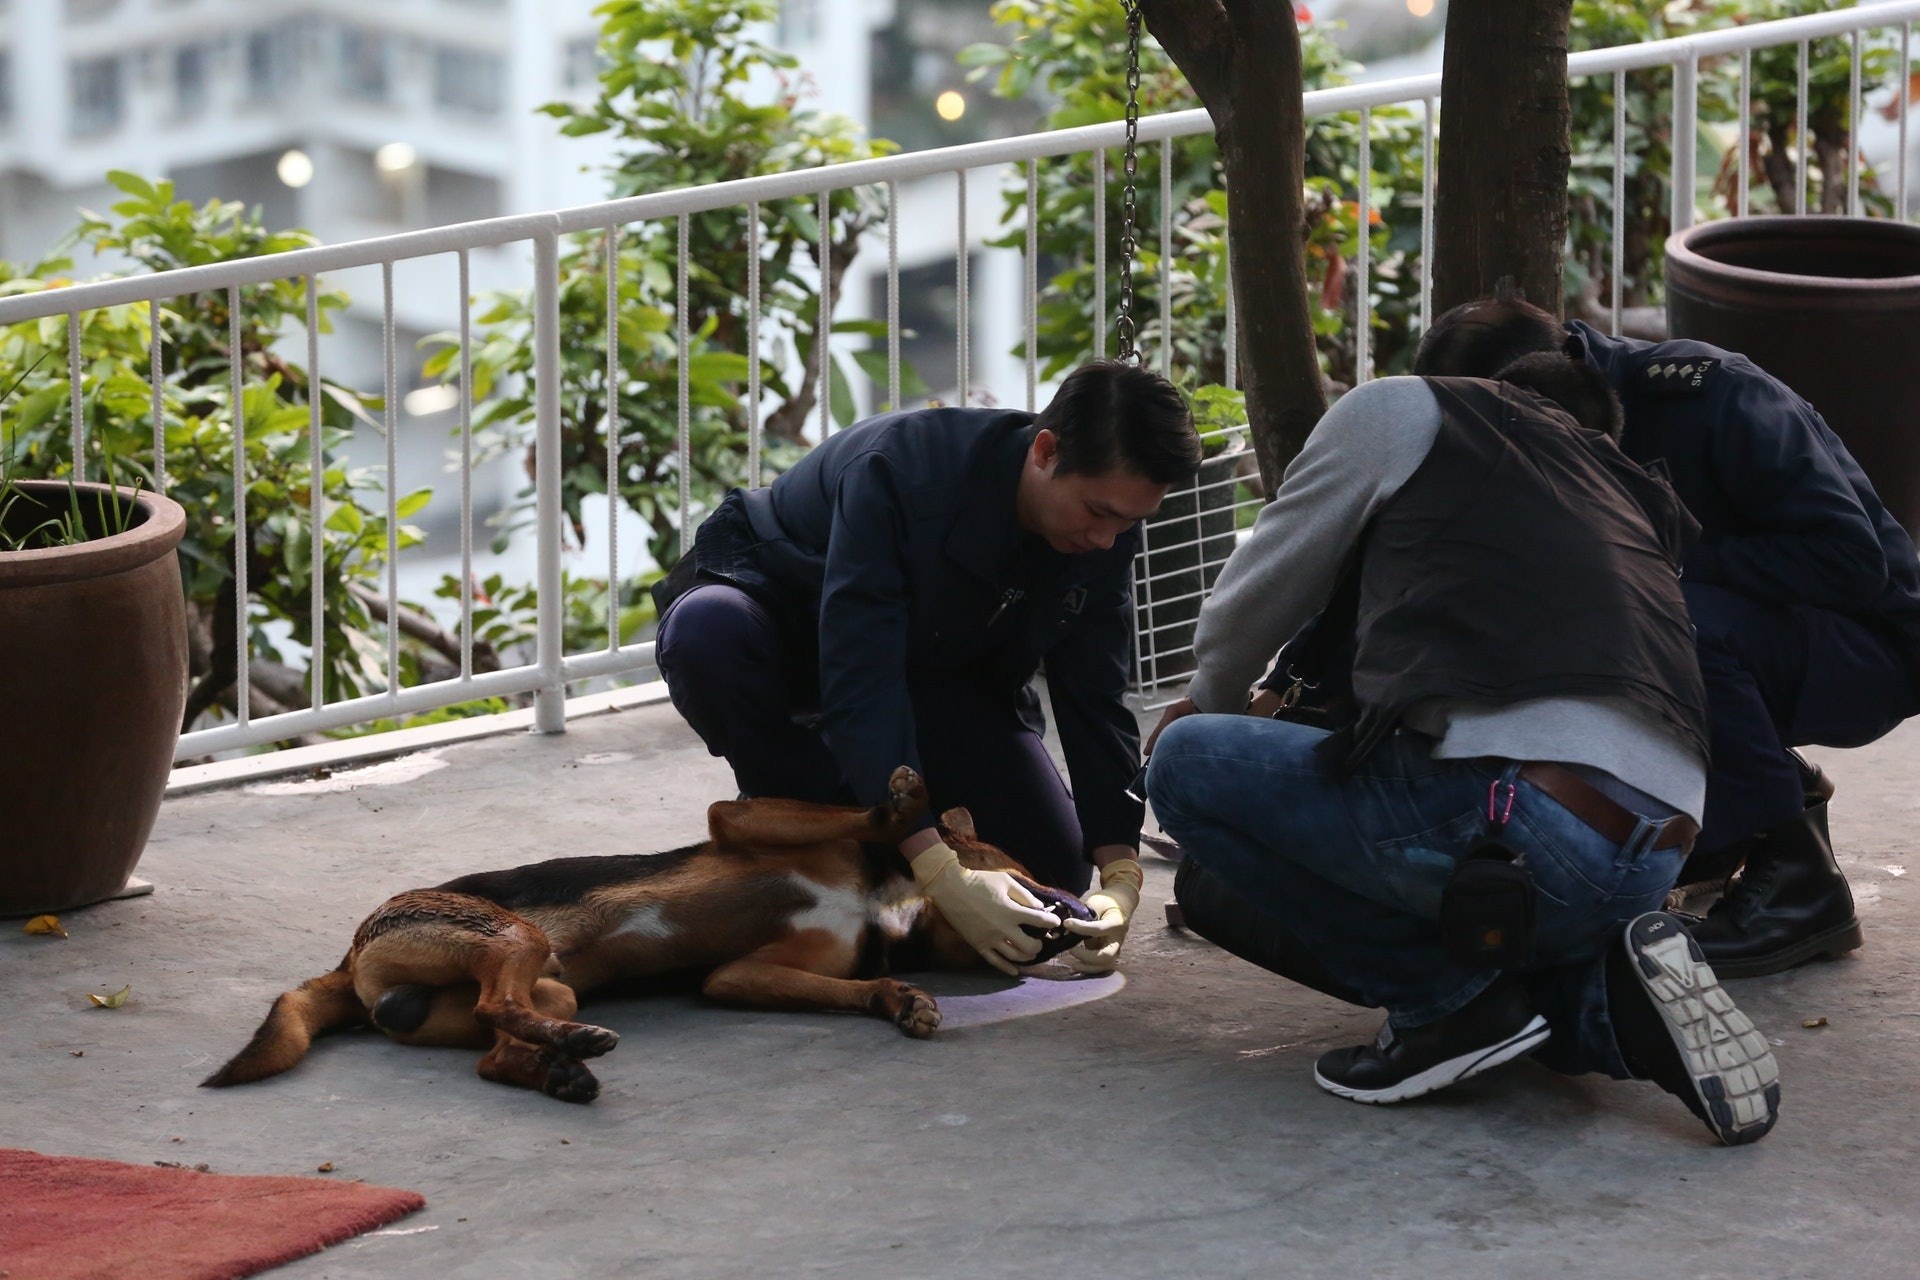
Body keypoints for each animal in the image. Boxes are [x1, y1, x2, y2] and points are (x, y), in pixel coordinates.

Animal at [206, 767, 1098, 1105]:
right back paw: (571, 1053)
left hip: (540, 981)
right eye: (1025, 865)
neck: (892, 903)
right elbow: (869, 813)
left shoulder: (739, 977)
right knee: (502, 1006)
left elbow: (857, 986)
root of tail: (349, 955)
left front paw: (902, 996)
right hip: (513, 937)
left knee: (497, 1039)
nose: (1069, 925)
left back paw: (559, 1065)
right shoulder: (740, 819)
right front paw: (908, 805)